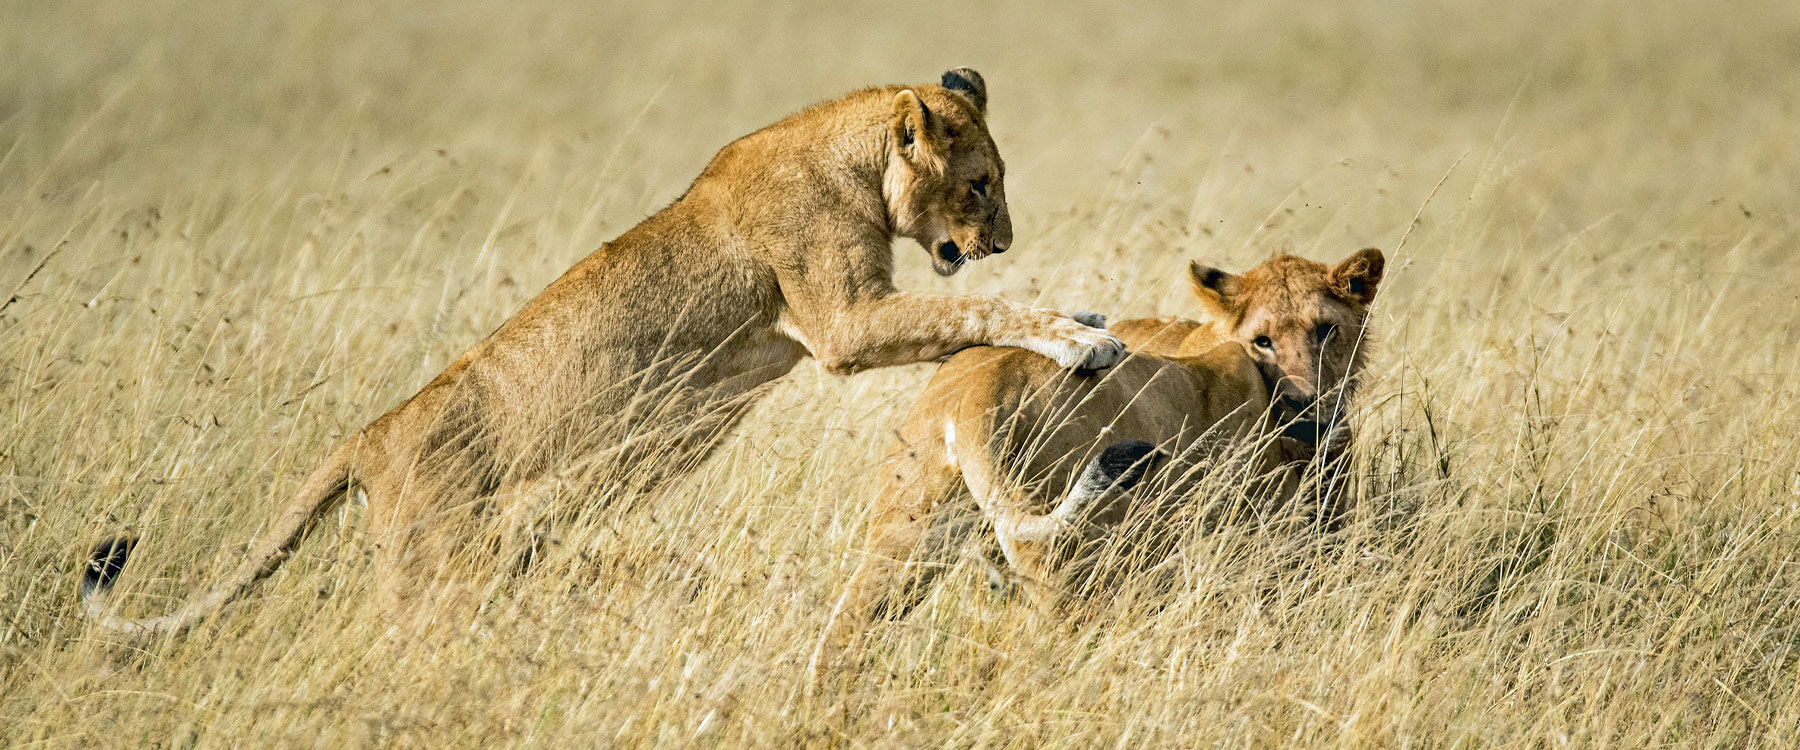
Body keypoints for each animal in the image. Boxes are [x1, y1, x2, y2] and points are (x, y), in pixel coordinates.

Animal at [78, 68, 1127, 636]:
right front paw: (1079, 336)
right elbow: (977, 308)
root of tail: (368, 437)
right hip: (430, 570)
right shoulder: (838, 325)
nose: (1005, 237)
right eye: (982, 183)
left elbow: (970, 308)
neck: (854, 161)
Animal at [810, 248, 1384, 670]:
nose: (1307, 407)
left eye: (1326, 330)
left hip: (908, 533)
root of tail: (974, 394)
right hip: (1077, 560)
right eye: (1261, 340)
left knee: (845, 630)